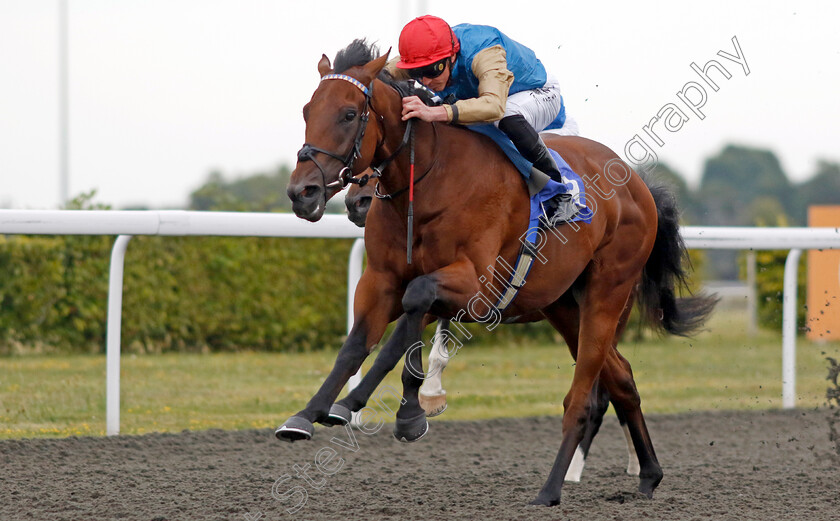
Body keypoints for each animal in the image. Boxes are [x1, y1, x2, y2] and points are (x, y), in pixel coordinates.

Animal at [278, 41, 712, 508]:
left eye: (348, 114)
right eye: (307, 110)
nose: (302, 192)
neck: (430, 176)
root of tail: (637, 184)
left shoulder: (477, 289)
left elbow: (415, 302)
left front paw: (357, 403)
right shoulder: (379, 280)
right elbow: (358, 343)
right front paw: (309, 414)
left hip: (608, 294)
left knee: (583, 398)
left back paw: (551, 489)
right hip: (563, 306)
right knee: (621, 378)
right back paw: (648, 474)